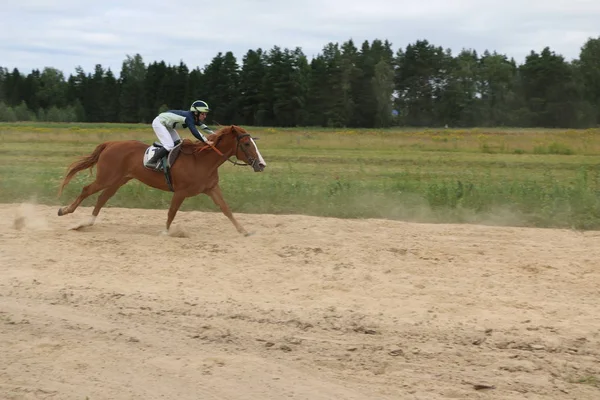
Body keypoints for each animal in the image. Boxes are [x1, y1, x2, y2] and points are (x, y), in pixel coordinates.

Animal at [56, 125, 268, 236]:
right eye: (246, 143)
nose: (261, 164)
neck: (202, 160)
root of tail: (110, 143)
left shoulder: (211, 188)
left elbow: (226, 209)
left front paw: (243, 231)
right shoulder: (180, 192)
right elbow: (171, 212)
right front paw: (165, 232)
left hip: (118, 180)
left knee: (102, 198)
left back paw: (87, 222)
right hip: (106, 177)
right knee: (87, 190)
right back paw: (65, 211)